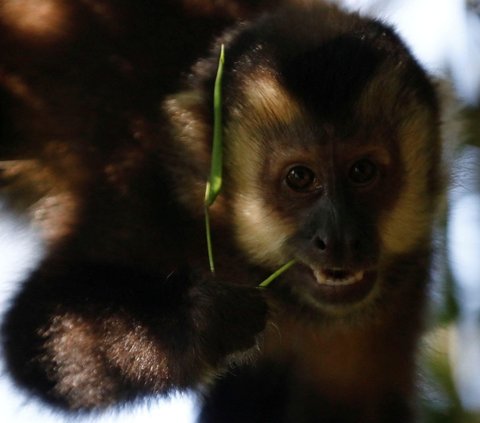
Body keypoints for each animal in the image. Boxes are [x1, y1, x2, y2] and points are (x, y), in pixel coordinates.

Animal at [0, 0, 442, 423]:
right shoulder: (143, 195)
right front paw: (198, 326)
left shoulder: (402, 287)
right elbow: (34, 335)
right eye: (300, 178)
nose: (339, 237)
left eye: (362, 171)